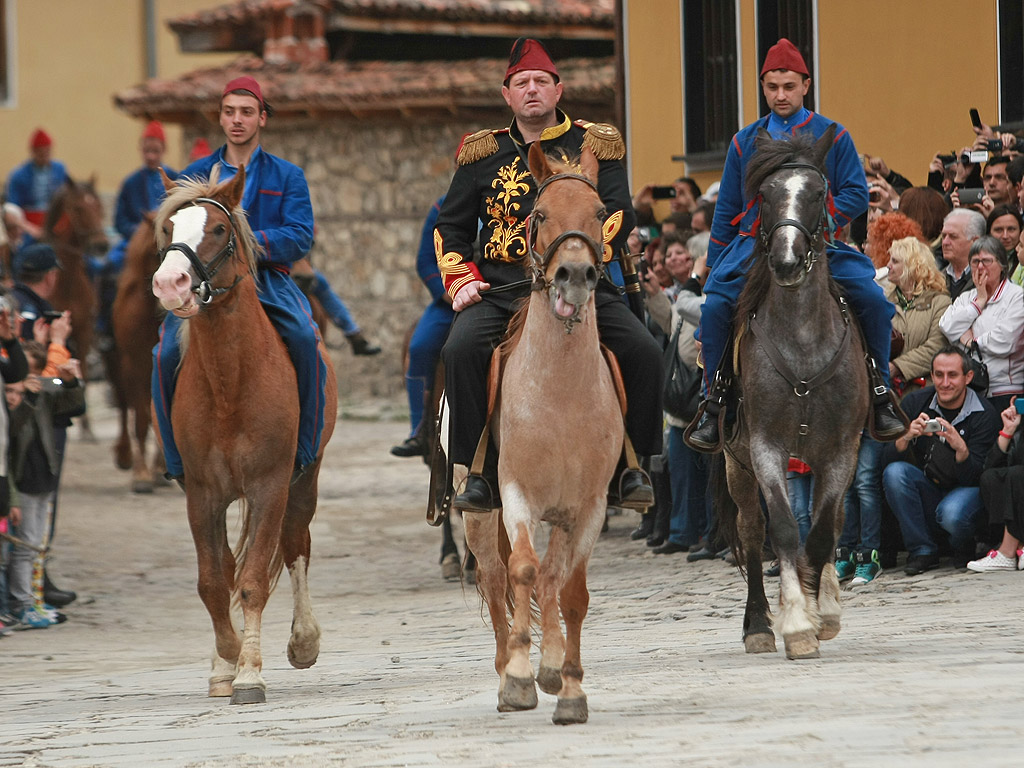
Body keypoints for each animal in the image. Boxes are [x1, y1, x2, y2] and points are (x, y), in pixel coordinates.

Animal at [150, 166, 335, 704]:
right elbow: (214, 582)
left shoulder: (270, 485)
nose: (170, 283)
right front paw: (226, 661)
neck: (231, 383)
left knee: (295, 545)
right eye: (169, 229)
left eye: (218, 230)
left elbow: (253, 579)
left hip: (304, 481)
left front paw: (250, 673)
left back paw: (303, 640)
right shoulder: (202, 493)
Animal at [466, 144, 622, 729]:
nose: (574, 273)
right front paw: (516, 677)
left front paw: (570, 687)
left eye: (600, 213)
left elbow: (571, 592)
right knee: (497, 578)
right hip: (478, 516)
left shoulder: (589, 506)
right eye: (539, 213)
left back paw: (552, 665)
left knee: (553, 581)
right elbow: (523, 571)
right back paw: (507, 667)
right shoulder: (516, 494)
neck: (560, 391)